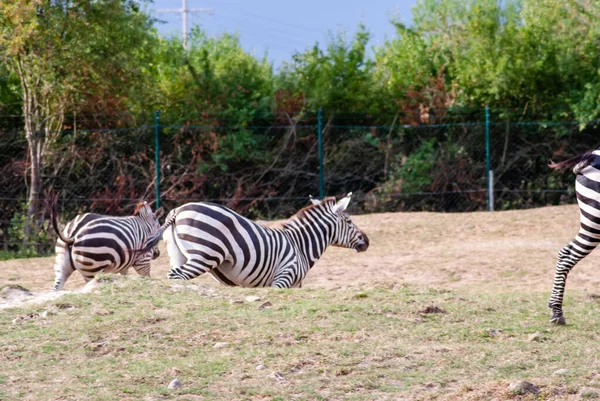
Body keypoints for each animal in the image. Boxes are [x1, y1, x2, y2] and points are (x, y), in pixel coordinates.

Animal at [165, 191, 370, 288]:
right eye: (349, 221)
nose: (367, 241)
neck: (300, 246)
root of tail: (179, 209)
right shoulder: (284, 277)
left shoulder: (294, 285)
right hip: (205, 255)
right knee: (177, 275)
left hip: (179, 255)